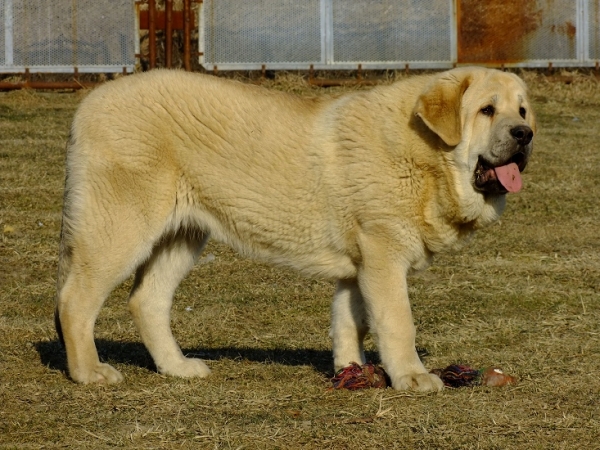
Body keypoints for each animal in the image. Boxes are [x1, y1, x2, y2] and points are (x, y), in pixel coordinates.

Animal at [55, 66, 536, 390]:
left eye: (522, 110)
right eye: (486, 110)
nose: (524, 134)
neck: (425, 153)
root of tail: (88, 104)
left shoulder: (359, 265)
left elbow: (350, 322)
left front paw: (351, 371)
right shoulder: (383, 254)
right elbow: (398, 322)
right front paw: (412, 377)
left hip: (182, 236)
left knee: (146, 300)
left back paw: (177, 367)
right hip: (119, 228)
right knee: (75, 300)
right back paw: (88, 373)